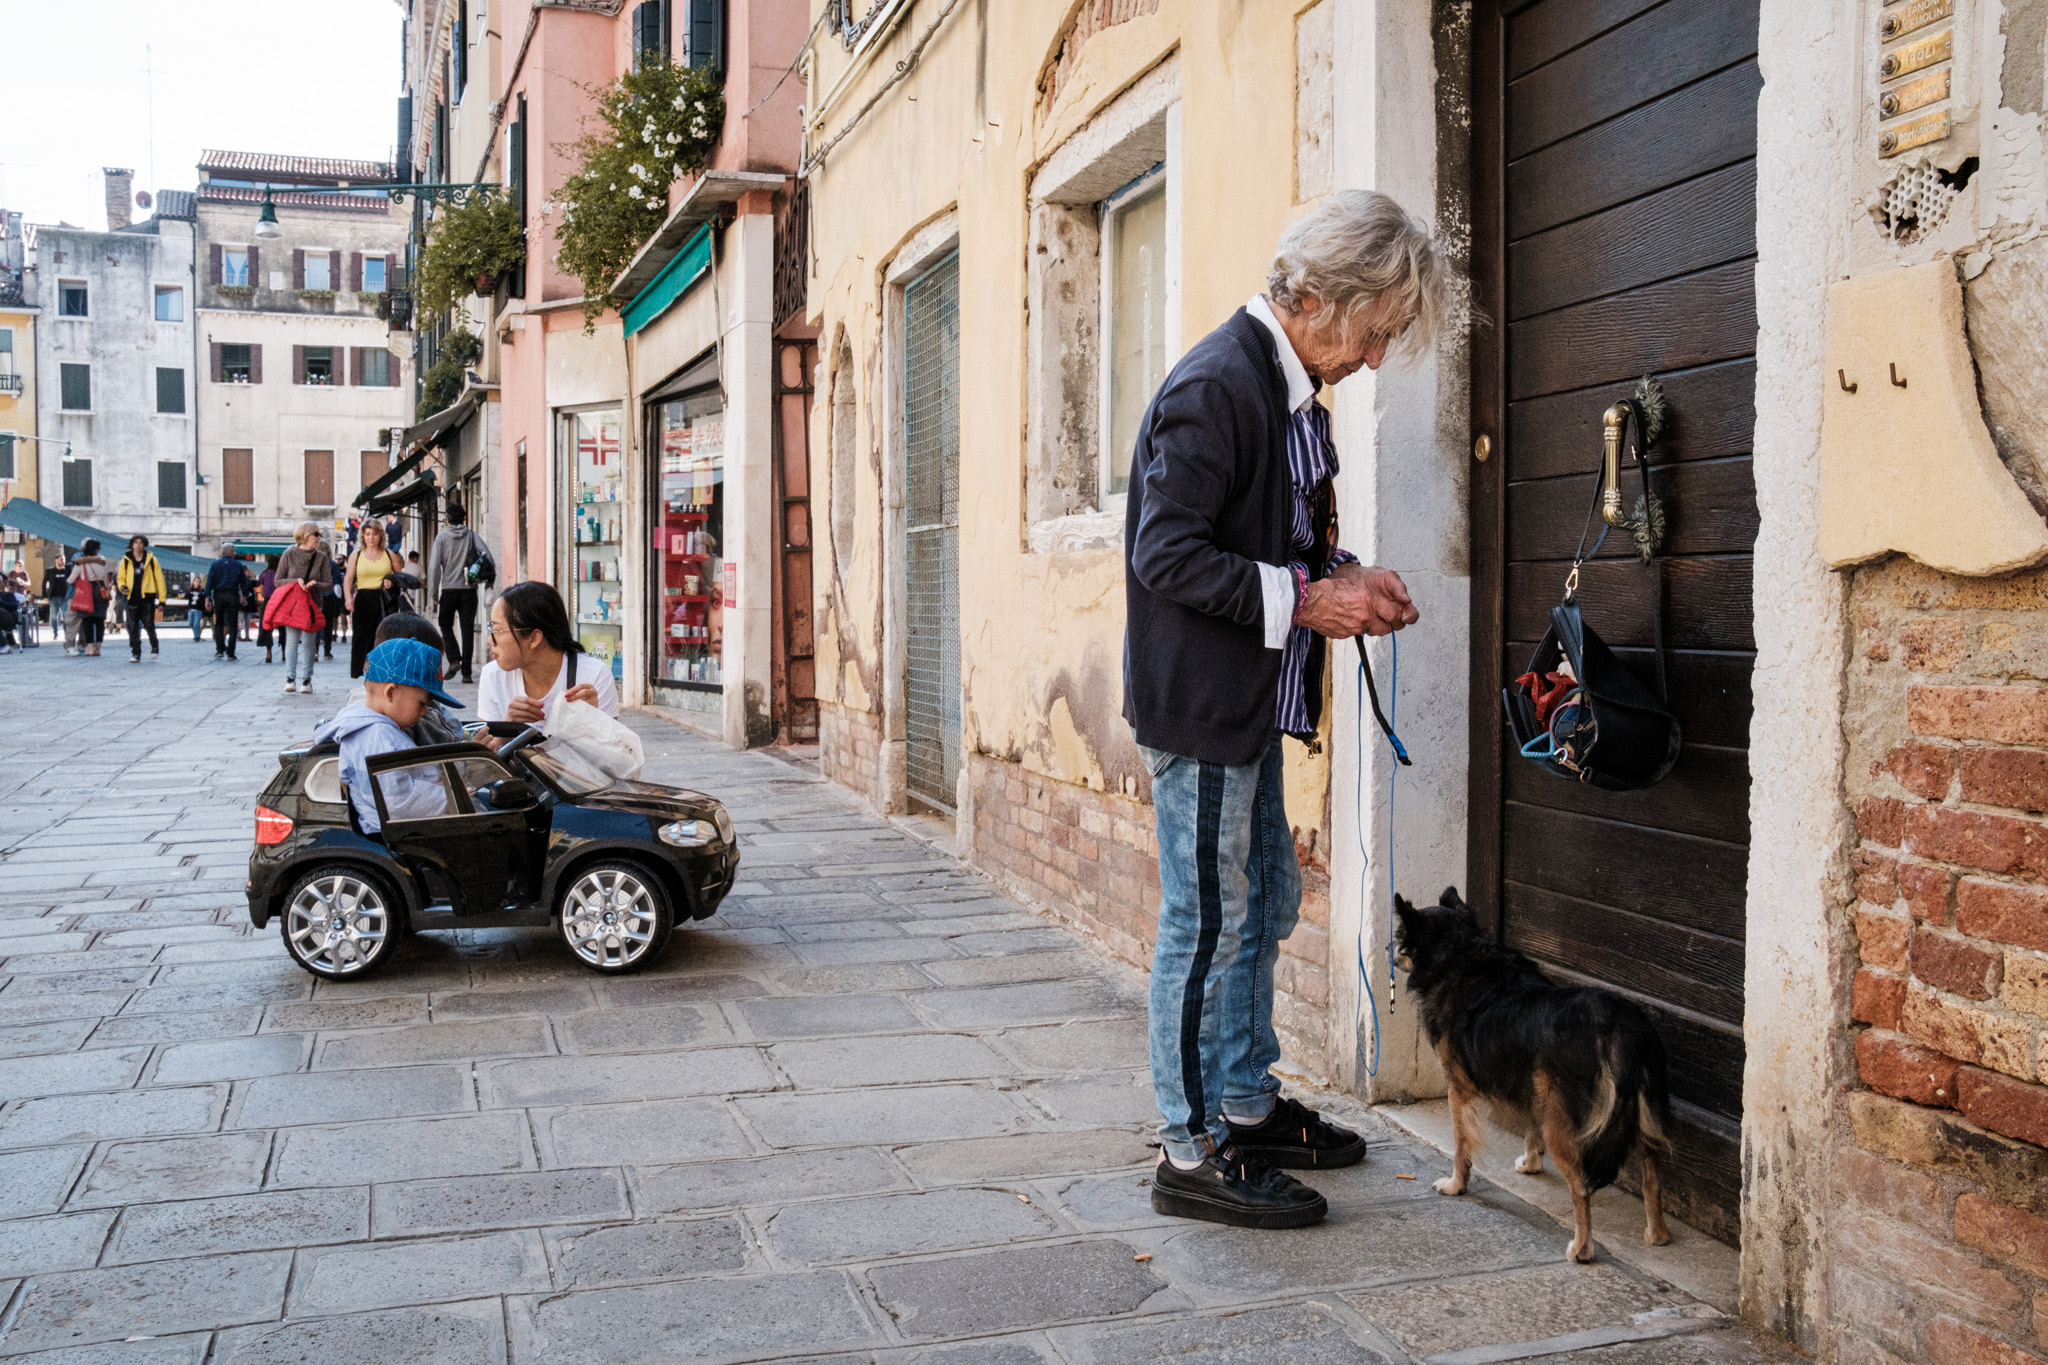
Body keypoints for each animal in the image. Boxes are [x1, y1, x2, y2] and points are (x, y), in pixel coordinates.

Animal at [1384, 892, 1671, 1268]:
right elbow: (1530, 1127)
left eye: (1401, 936)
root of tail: (1615, 1022)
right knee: (1652, 1172)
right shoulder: (1532, 1085)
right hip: (1637, 1108)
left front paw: (1456, 1185)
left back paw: (1582, 1249)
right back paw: (1658, 1234)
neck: (1461, 955)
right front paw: (1532, 1163)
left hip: (1566, 1123)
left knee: (1581, 1187)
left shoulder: (1459, 1088)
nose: (1386, 949)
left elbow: (1461, 1144)